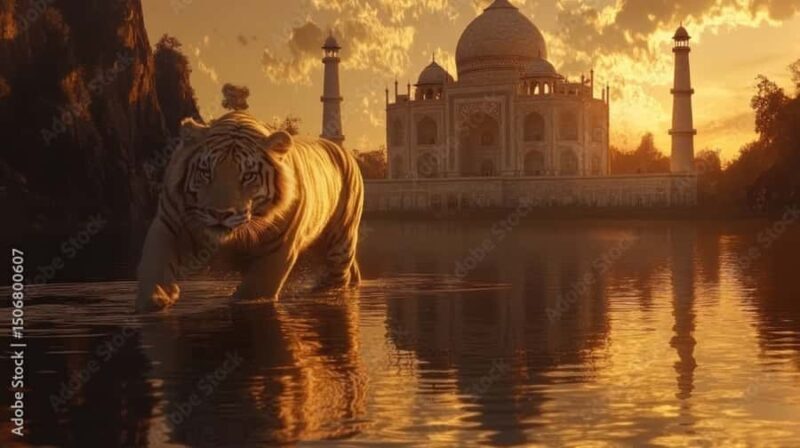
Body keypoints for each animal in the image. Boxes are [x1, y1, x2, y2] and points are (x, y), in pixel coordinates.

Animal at [136, 110, 364, 313]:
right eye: (206, 172)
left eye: (248, 176)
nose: (220, 214)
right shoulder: (169, 224)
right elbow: (153, 266)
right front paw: (158, 297)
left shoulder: (278, 249)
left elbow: (252, 292)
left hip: (339, 246)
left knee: (338, 276)